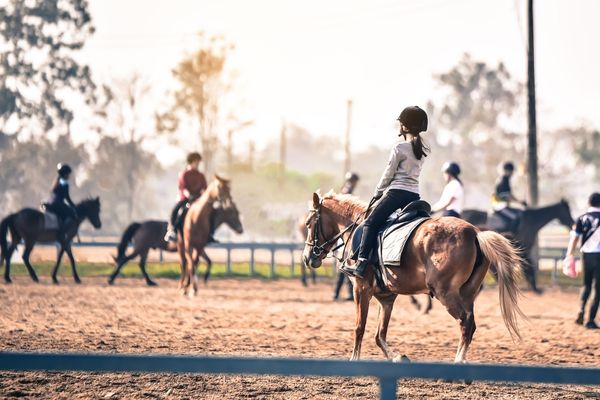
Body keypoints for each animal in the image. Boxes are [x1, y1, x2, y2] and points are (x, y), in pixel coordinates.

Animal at [110, 205, 244, 286]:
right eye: (233, 214)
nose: (240, 229)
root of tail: (141, 224)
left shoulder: (199, 249)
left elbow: (208, 261)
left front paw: (203, 278)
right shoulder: (197, 248)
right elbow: (198, 262)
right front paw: (194, 279)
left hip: (145, 249)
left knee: (141, 264)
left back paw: (150, 282)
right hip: (140, 248)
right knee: (125, 260)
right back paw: (111, 279)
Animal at [302, 192, 524, 364]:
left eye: (309, 224)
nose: (307, 257)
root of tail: (475, 233)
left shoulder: (361, 289)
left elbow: (360, 327)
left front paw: (354, 360)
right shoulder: (386, 298)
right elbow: (379, 335)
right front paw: (397, 357)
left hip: (446, 293)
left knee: (465, 322)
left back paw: (459, 361)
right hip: (467, 293)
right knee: (470, 324)